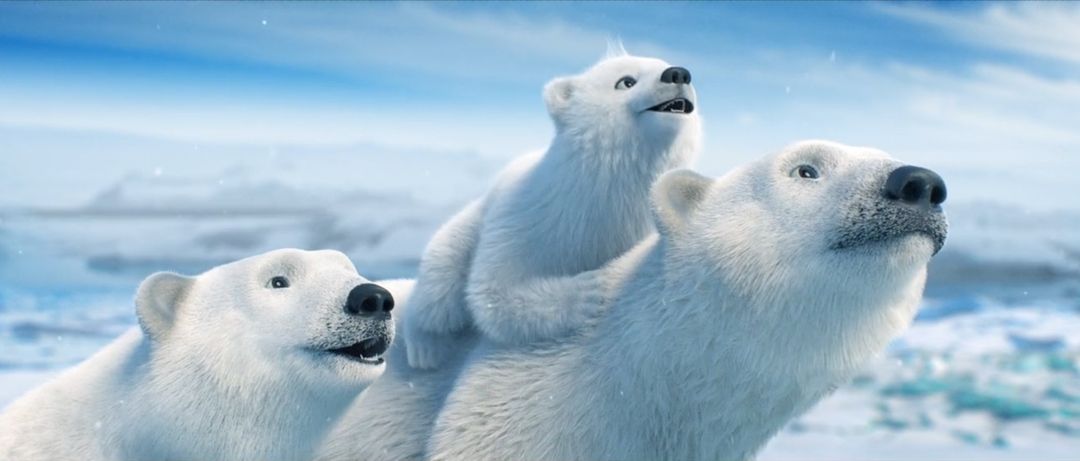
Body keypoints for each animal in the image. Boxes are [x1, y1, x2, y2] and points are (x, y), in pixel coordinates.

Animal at [403, 50, 702, 370]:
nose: (677, 74)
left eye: (664, 65)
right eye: (626, 81)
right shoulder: (535, 212)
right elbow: (493, 288)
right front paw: (590, 291)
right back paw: (424, 348)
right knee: (440, 286)